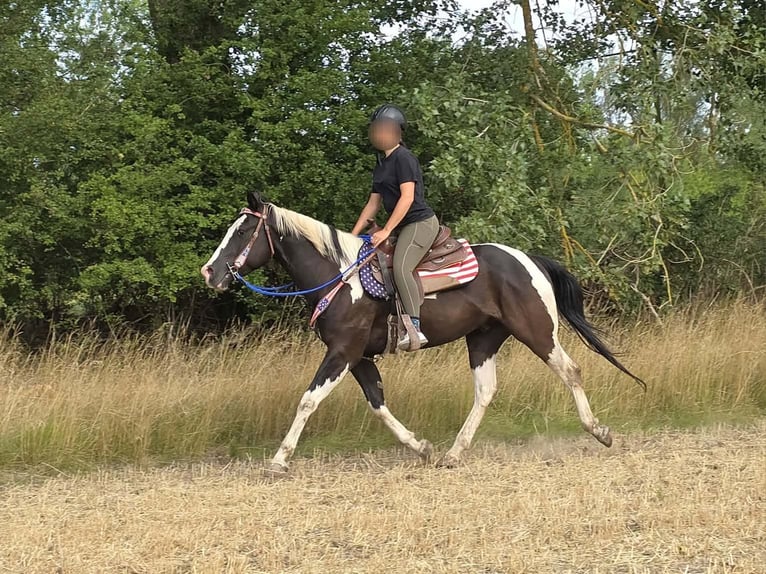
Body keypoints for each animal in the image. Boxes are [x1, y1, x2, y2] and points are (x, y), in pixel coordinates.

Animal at [201, 192, 644, 474]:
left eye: (242, 232)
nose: (210, 272)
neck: (340, 277)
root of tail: (527, 259)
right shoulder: (358, 356)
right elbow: (378, 403)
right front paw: (422, 448)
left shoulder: (343, 352)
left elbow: (308, 401)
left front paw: (279, 460)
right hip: (483, 338)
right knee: (485, 390)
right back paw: (453, 454)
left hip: (537, 331)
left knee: (571, 371)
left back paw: (600, 432)